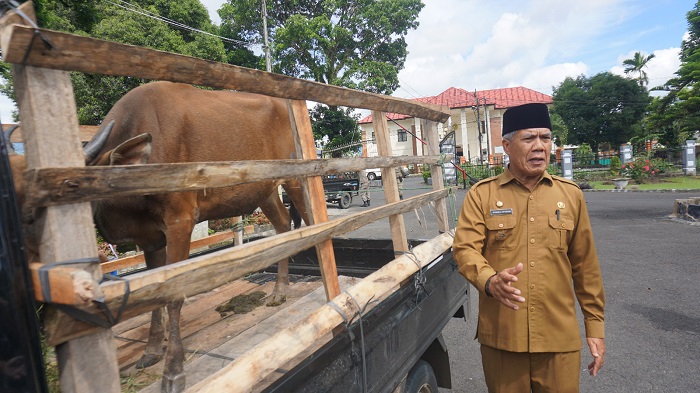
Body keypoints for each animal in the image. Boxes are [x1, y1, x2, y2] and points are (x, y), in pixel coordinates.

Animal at [4, 81, 306, 390]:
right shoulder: (148, 237)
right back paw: (279, 291)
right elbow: (157, 293)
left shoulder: (180, 220)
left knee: (309, 219)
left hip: (296, 179)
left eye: (33, 213)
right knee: (284, 225)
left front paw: (173, 371)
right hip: (266, 191)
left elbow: (174, 294)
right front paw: (151, 351)